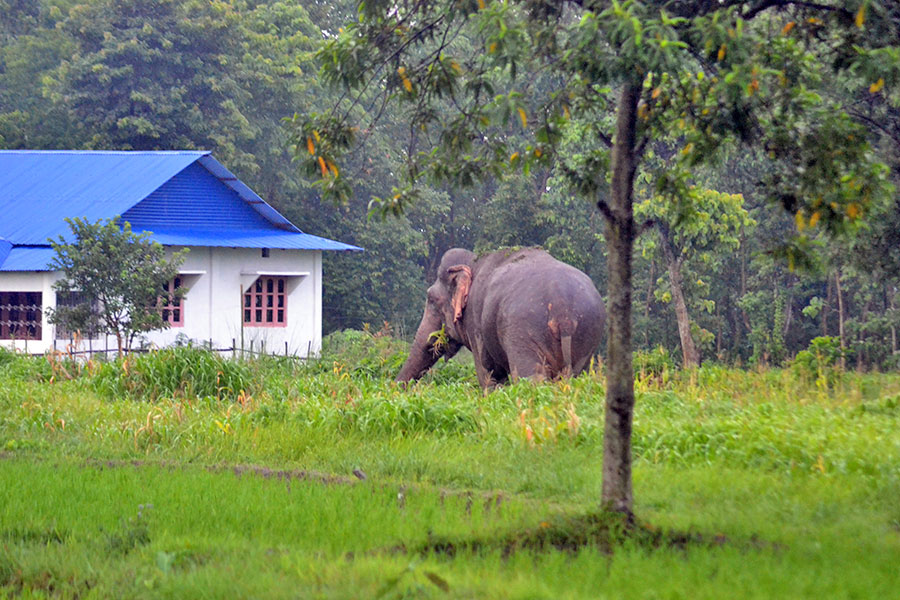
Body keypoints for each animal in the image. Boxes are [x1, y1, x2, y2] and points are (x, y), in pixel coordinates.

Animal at [400, 247, 604, 390]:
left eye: (431, 299)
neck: (473, 261)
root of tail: (563, 311)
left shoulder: (474, 320)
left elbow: (488, 374)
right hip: (587, 334)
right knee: (577, 376)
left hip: (523, 331)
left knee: (530, 377)